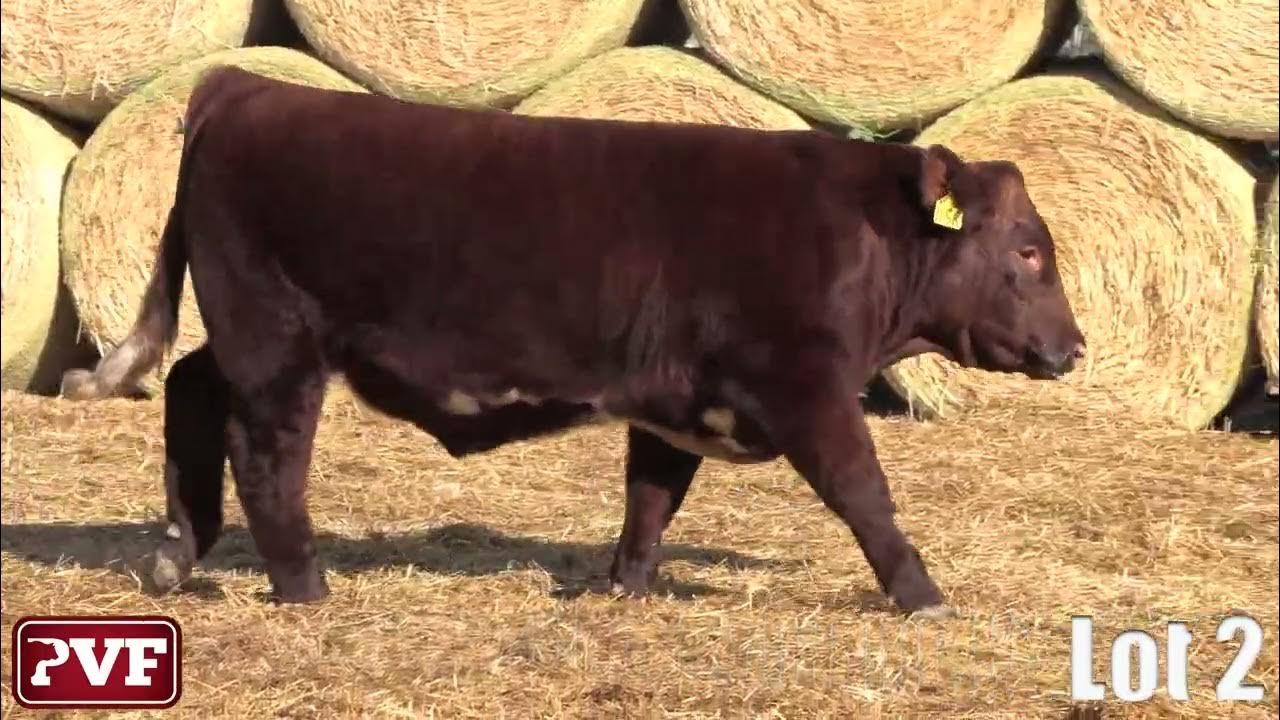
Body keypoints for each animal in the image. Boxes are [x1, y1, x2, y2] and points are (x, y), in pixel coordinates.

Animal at [61, 66, 1086, 618]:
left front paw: (624, 586)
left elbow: (651, 499)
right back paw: (302, 584)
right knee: (267, 454)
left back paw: (176, 551)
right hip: (276, 342)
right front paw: (922, 592)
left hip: (242, 334)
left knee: (190, 392)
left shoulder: (676, 400)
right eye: (1029, 250)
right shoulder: (805, 387)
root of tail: (243, 86)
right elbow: (864, 491)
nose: (1074, 348)